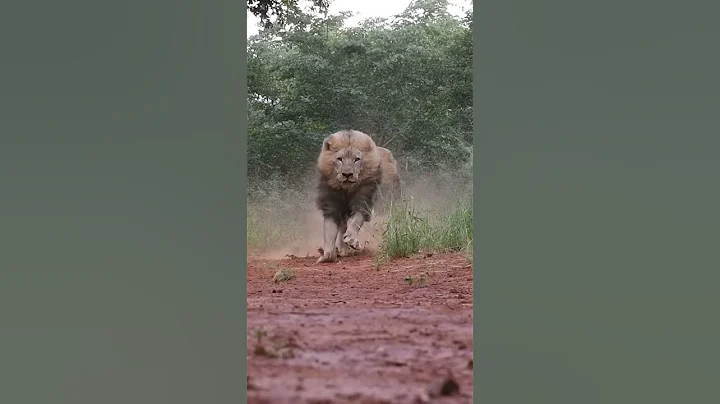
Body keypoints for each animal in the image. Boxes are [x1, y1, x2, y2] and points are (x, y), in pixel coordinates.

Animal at [314, 128, 400, 264]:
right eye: (340, 159)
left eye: (357, 159)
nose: (347, 174)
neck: (347, 189)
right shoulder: (331, 204)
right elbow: (329, 230)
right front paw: (327, 254)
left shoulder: (364, 199)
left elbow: (357, 220)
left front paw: (351, 240)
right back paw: (343, 250)